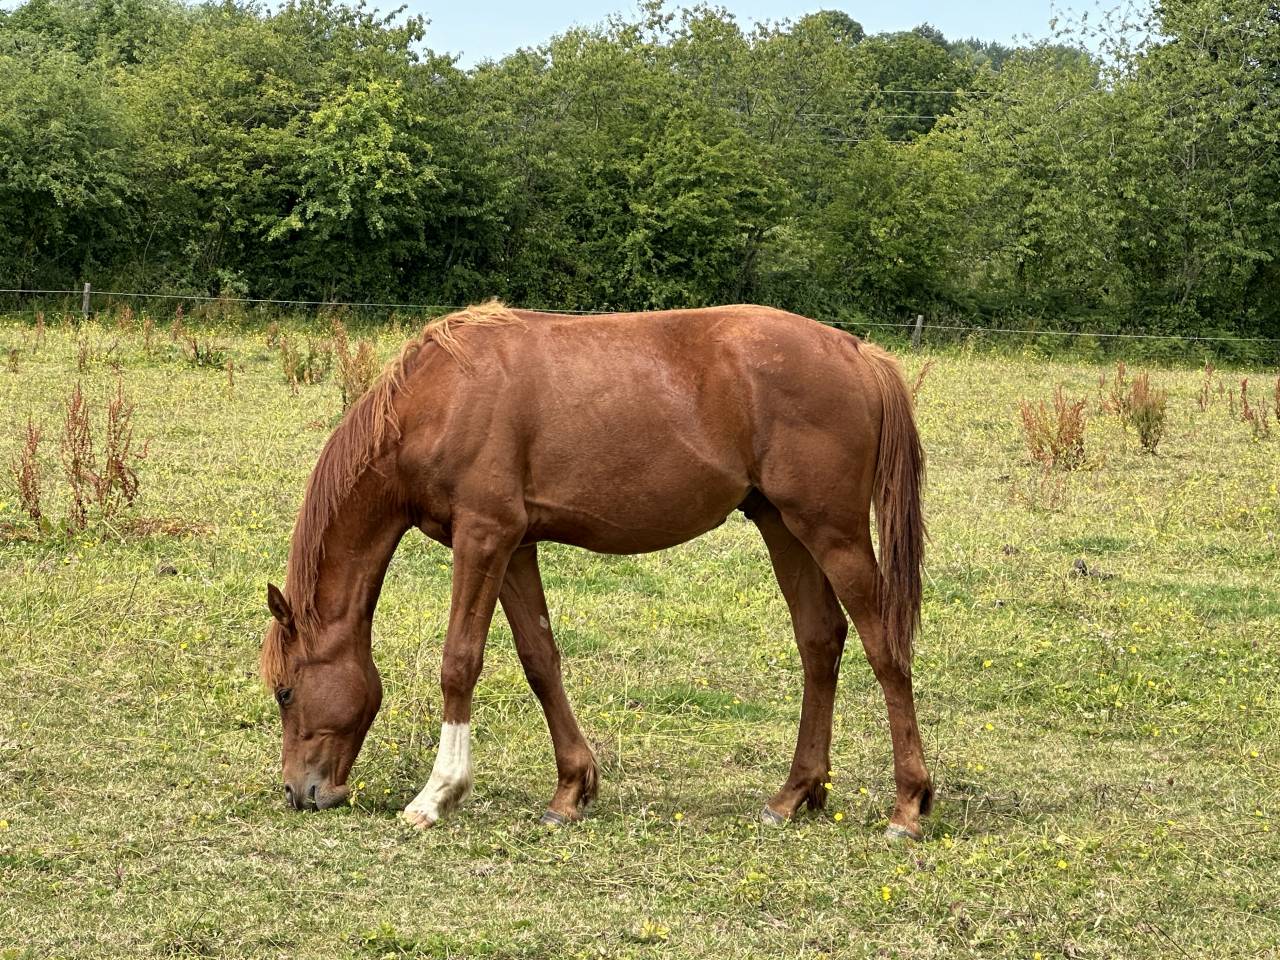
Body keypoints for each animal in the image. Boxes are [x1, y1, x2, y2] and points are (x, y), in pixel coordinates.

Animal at [261, 301, 933, 840]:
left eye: (286, 691)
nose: (300, 793)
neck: (440, 399)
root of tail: (857, 352)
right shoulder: (514, 547)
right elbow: (539, 659)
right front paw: (571, 790)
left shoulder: (483, 538)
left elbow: (459, 663)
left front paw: (437, 795)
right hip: (783, 526)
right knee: (821, 640)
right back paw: (794, 794)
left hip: (833, 533)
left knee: (883, 646)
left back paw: (908, 806)